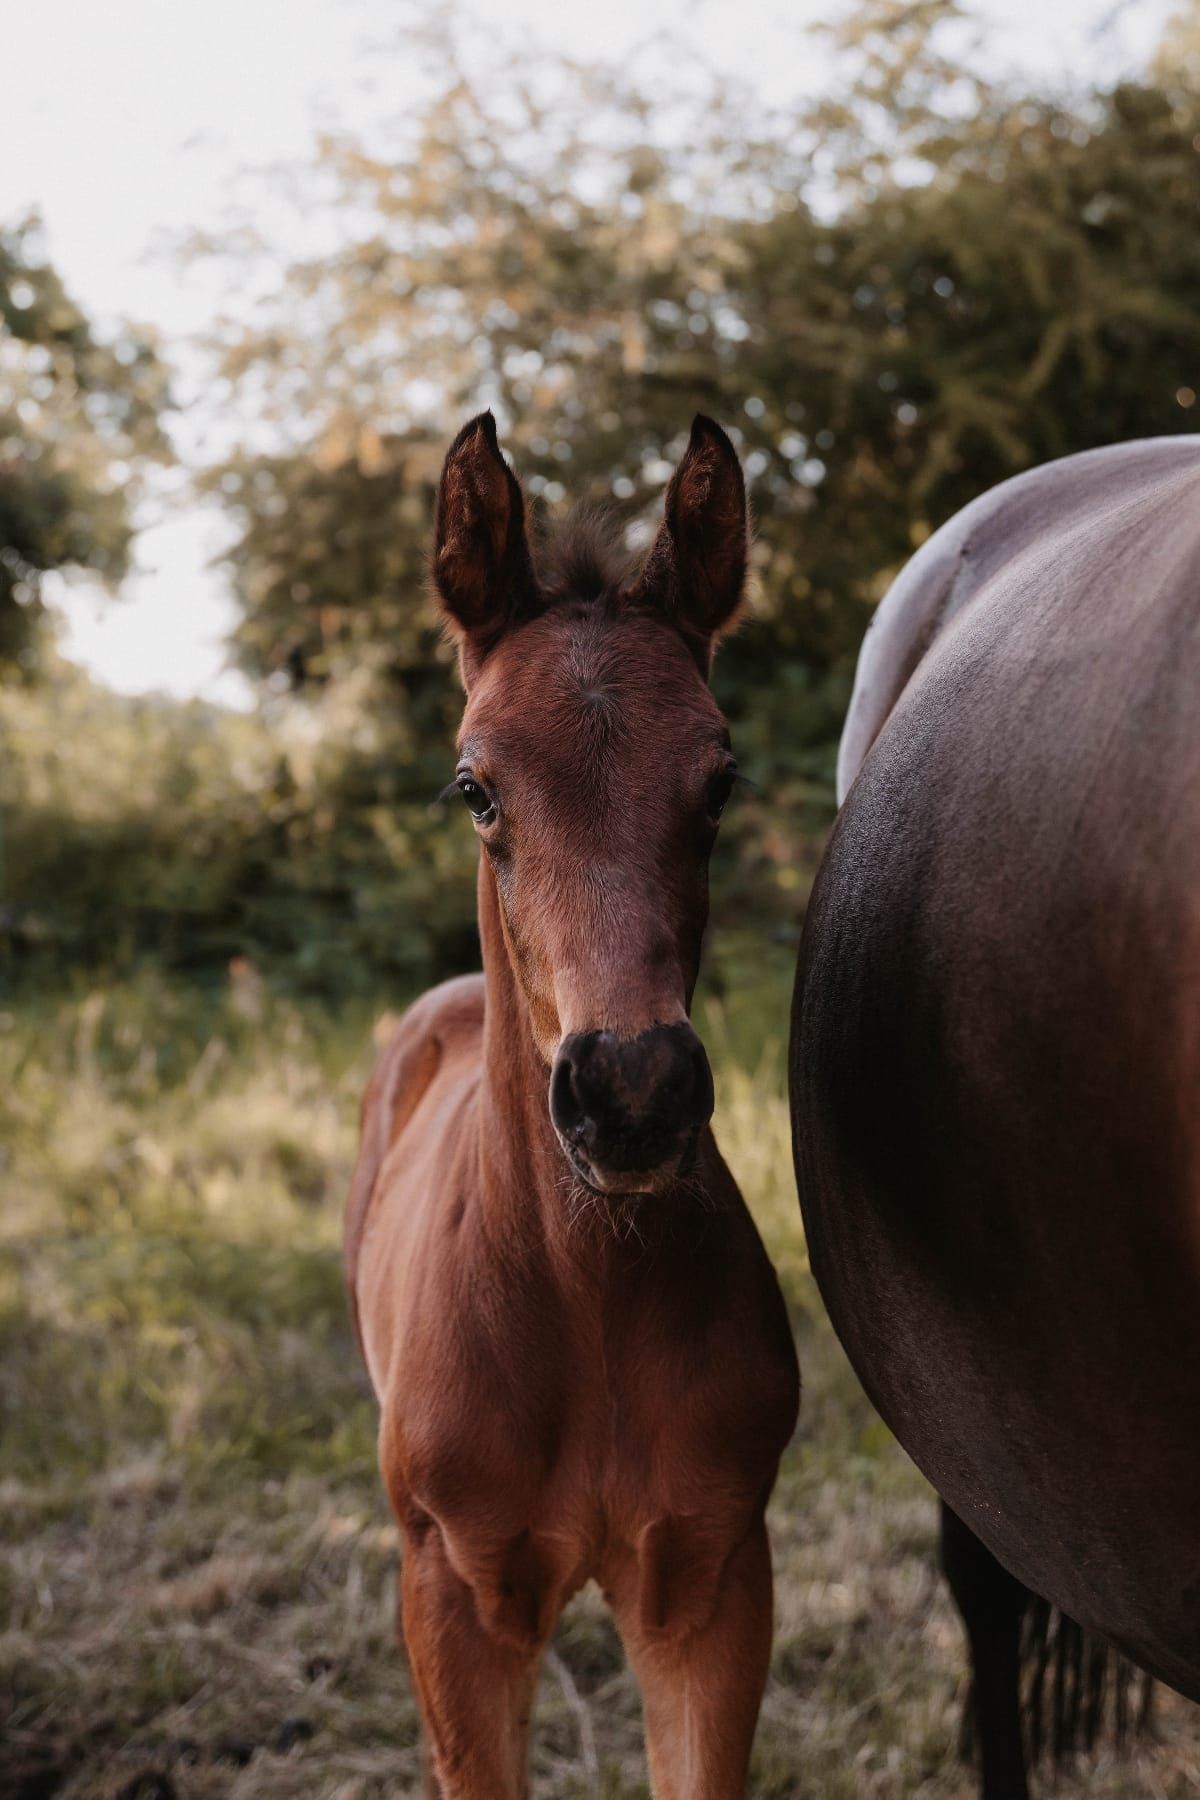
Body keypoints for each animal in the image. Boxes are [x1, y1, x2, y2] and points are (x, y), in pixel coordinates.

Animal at [346, 412, 800, 1798]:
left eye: (719, 780)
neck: (586, 1299)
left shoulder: (710, 1581)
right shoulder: (457, 1594)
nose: (631, 1094)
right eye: (475, 786)